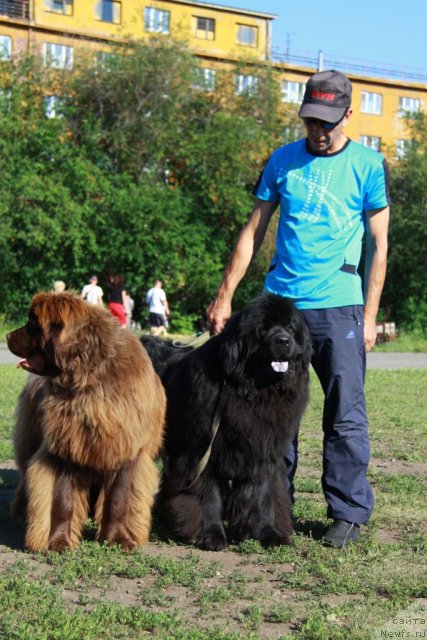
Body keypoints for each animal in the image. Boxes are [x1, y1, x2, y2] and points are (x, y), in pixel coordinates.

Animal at [7, 290, 167, 552]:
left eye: (33, 324)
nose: (7, 335)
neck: (88, 378)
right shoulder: (66, 448)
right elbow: (63, 500)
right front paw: (58, 541)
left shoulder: (126, 448)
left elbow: (118, 499)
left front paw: (118, 539)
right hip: (30, 435)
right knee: (25, 473)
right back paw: (20, 512)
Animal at [142, 296, 312, 552]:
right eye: (263, 330)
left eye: (290, 328)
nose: (283, 340)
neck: (253, 391)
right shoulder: (202, 451)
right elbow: (209, 495)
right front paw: (211, 535)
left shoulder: (263, 450)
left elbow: (263, 494)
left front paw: (268, 532)